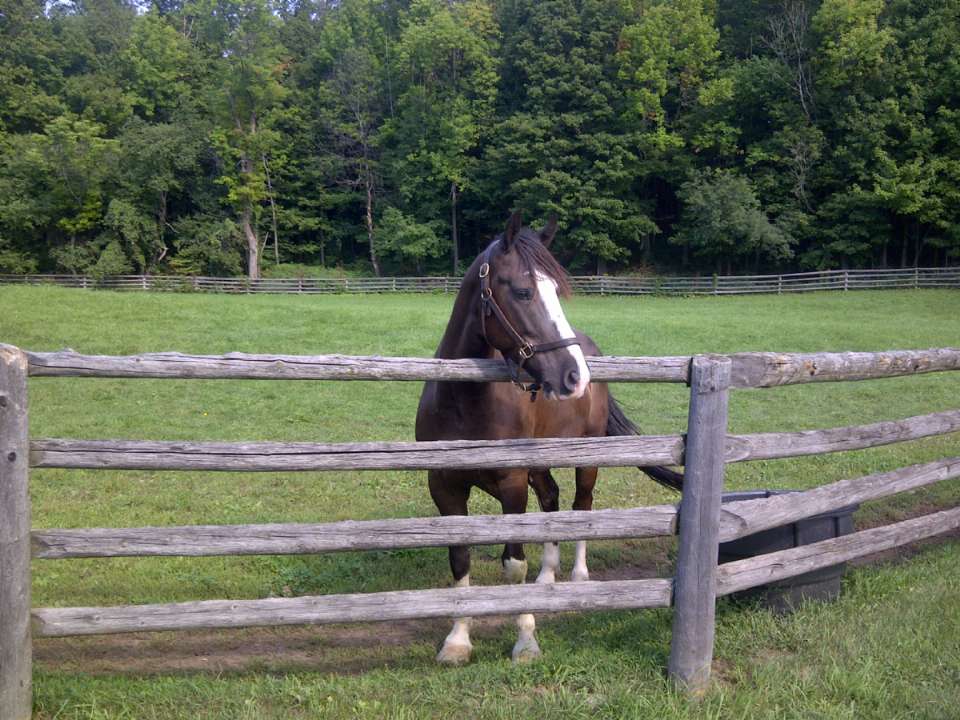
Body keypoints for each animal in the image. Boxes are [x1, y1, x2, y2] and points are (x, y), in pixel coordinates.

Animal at [415, 211, 682, 664]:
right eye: (523, 291)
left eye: (556, 291)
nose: (574, 375)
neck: (465, 400)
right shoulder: (445, 487)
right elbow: (460, 559)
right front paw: (457, 640)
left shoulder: (511, 484)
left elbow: (514, 564)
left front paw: (525, 639)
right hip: (539, 463)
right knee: (552, 501)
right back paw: (547, 579)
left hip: (585, 460)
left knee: (581, 505)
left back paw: (576, 575)